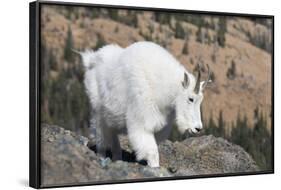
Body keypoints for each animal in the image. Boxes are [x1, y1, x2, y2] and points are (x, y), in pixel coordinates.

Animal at [77, 41, 209, 166]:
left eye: (201, 100)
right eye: (190, 99)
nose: (198, 128)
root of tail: (91, 59)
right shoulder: (142, 122)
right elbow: (152, 153)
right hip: (98, 111)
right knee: (101, 136)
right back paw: (102, 156)